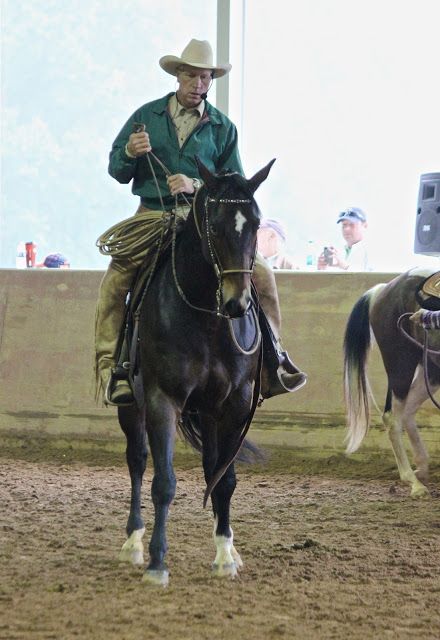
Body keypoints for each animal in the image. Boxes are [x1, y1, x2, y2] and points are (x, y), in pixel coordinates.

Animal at [117, 158, 276, 584]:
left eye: (256, 224)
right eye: (214, 225)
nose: (238, 303)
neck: (207, 318)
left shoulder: (234, 405)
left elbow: (224, 480)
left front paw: (225, 556)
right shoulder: (162, 400)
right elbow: (164, 482)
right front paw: (157, 562)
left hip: (207, 412)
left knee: (209, 468)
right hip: (131, 407)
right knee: (137, 461)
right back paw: (133, 543)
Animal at [344, 268, 440, 498]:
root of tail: (382, 289)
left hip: (431, 371)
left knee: (407, 411)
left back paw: (422, 468)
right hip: (400, 364)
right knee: (392, 417)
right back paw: (414, 482)